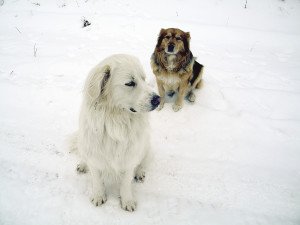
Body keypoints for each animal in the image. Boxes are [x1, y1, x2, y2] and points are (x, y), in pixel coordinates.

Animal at [69, 54, 161, 211]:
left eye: (143, 79)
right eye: (130, 83)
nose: (158, 99)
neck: (116, 121)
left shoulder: (129, 157)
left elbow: (125, 182)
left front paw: (127, 201)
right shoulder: (95, 156)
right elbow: (97, 179)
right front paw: (98, 196)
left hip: (145, 147)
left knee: (141, 162)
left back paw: (139, 172)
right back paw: (83, 164)